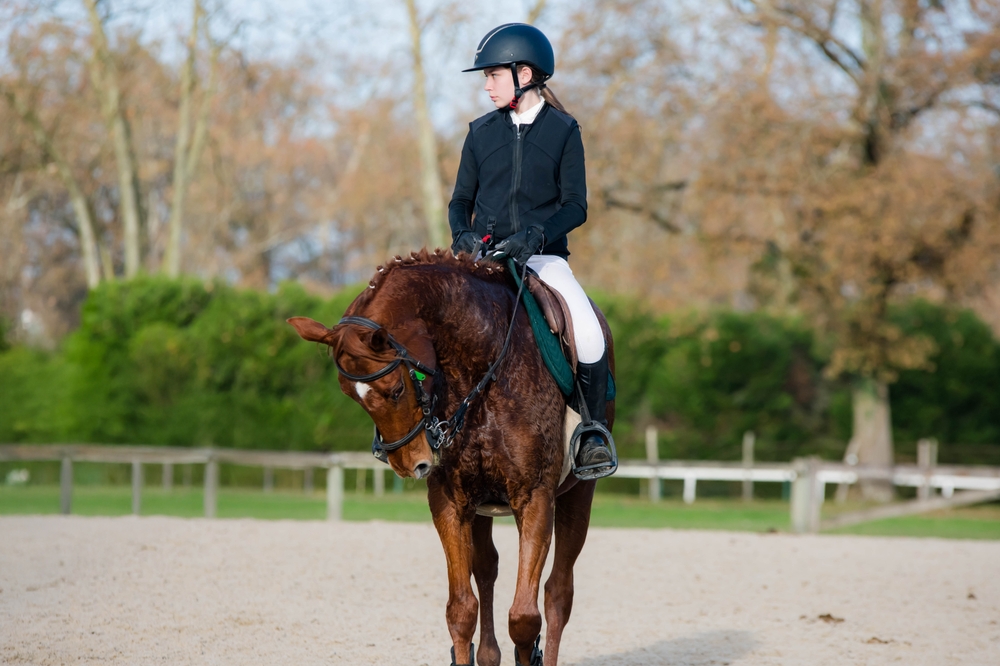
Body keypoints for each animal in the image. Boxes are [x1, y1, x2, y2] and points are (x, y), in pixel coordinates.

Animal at [287, 249, 615, 666]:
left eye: (396, 389)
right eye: (350, 394)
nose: (411, 464)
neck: (483, 369)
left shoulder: (535, 498)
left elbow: (524, 618)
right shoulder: (450, 501)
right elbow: (461, 611)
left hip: (577, 495)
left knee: (557, 593)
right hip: (482, 506)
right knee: (487, 569)